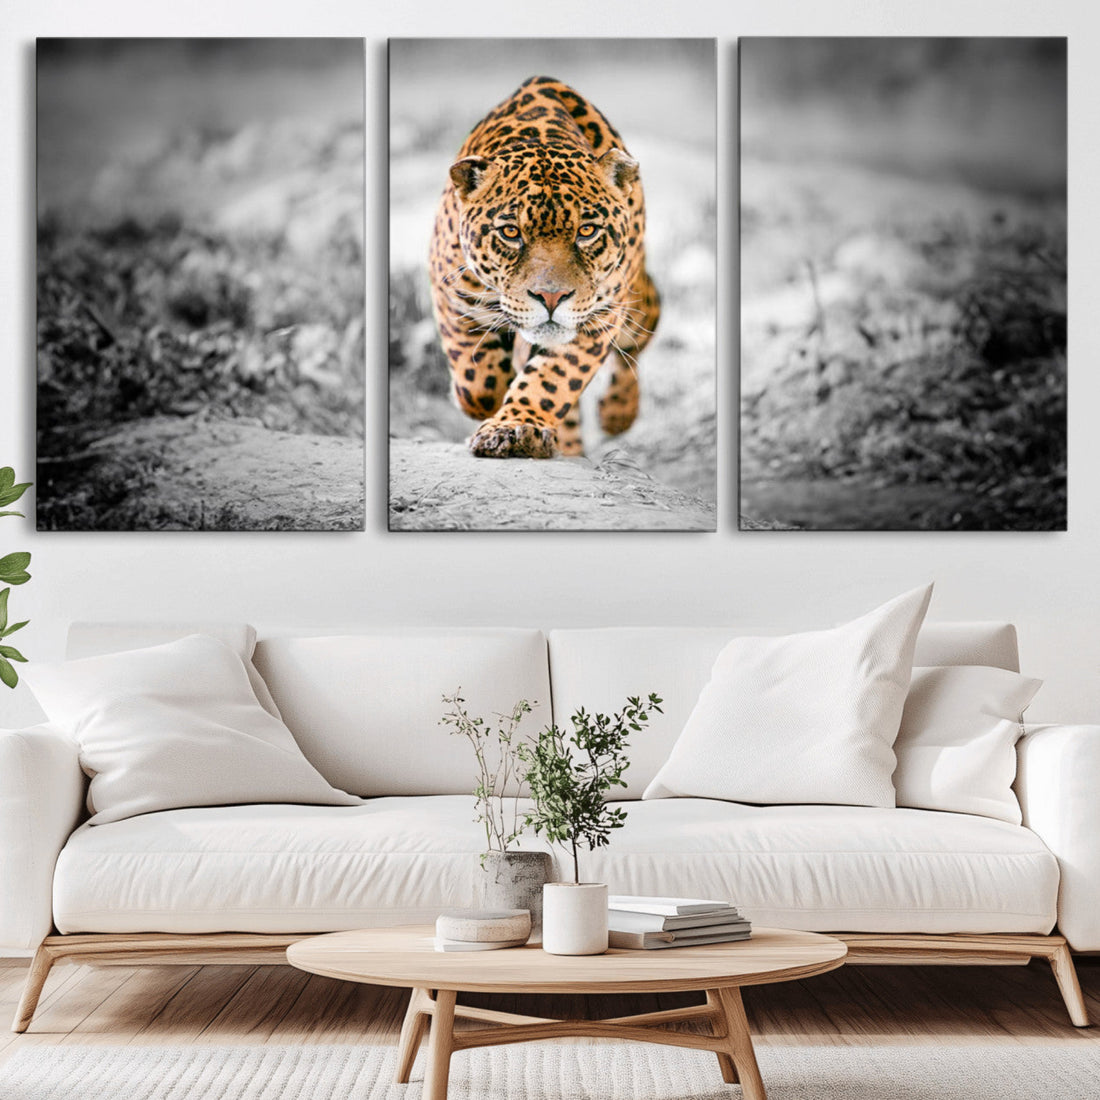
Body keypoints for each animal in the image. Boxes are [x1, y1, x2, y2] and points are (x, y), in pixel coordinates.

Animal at [428, 76, 660, 459]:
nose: (551, 298)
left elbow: (553, 379)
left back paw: (617, 413)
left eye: (587, 231)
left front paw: (515, 427)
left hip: (636, 303)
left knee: (635, 342)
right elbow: (477, 382)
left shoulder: (599, 316)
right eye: (510, 232)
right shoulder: (452, 293)